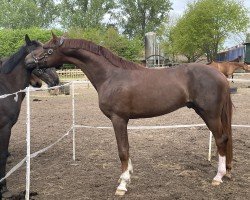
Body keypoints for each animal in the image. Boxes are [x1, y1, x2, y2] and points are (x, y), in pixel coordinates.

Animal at [25, 33, 232, 196]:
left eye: (47, 49)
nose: (27, 61)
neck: (110, 76)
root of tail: (220, 75)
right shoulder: (122, 120)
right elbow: (127, 149)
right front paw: (127, 176)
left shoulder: (118, 119)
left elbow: (122, 150)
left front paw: (123, 184)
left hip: (210, 114)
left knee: (221, 139)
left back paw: (218, 176)